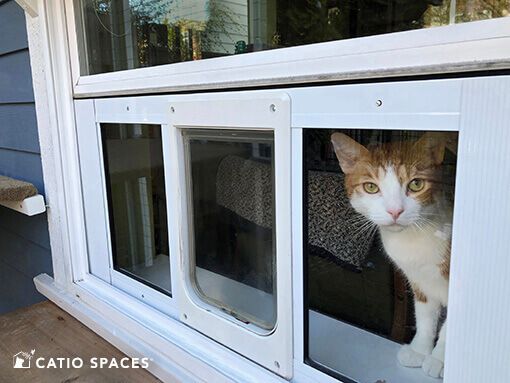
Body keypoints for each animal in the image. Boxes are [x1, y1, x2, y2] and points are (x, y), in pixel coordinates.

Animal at [332, 131, 452, 378]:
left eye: (416, 184)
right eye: (370, 187)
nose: (395, 211)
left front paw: (441, 359)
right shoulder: (419, 279)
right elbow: (425, 315)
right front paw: (419, 351)